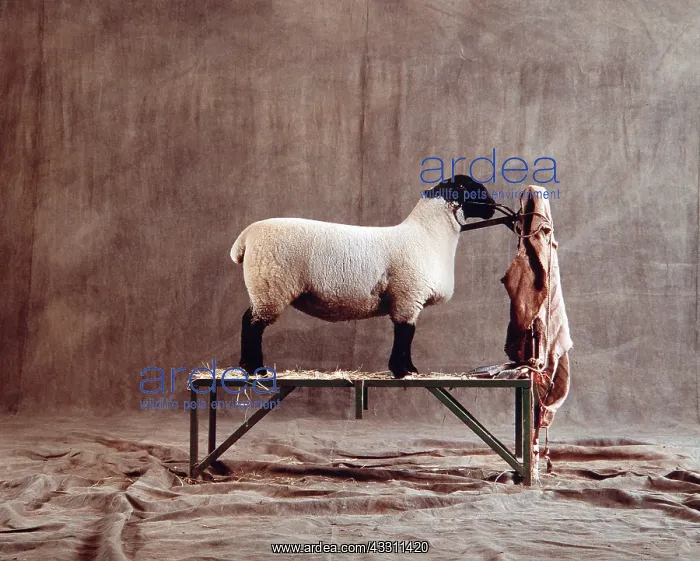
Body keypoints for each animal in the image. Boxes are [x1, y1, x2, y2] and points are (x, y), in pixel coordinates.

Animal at [231, 175, 496, 378]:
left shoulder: (408, 299)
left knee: (249, 320)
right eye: (477, 189)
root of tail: (246, 236)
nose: (494, 206)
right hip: (270, 287)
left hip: (264, 289)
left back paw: (248, 367)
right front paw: (402, 371)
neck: (428, 235)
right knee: (252, 324)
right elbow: (404, 334)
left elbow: (407, 335)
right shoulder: (408, 296)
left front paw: (409, 369)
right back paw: (255, 369)